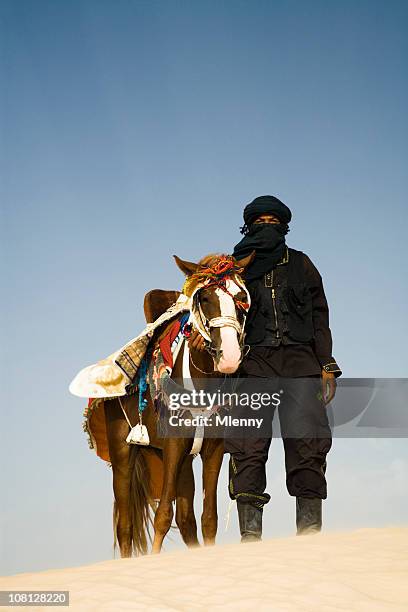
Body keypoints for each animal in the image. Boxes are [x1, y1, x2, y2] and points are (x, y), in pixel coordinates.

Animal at [103, 251, 253, 556]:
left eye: (241, 297)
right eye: (203, 298)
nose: (230, 356)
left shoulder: (212, 449)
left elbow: (208, 518)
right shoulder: (173, 446)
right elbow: (162, 515)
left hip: (178, 459)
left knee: (186, 520)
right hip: (124, 454)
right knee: (125, 526)